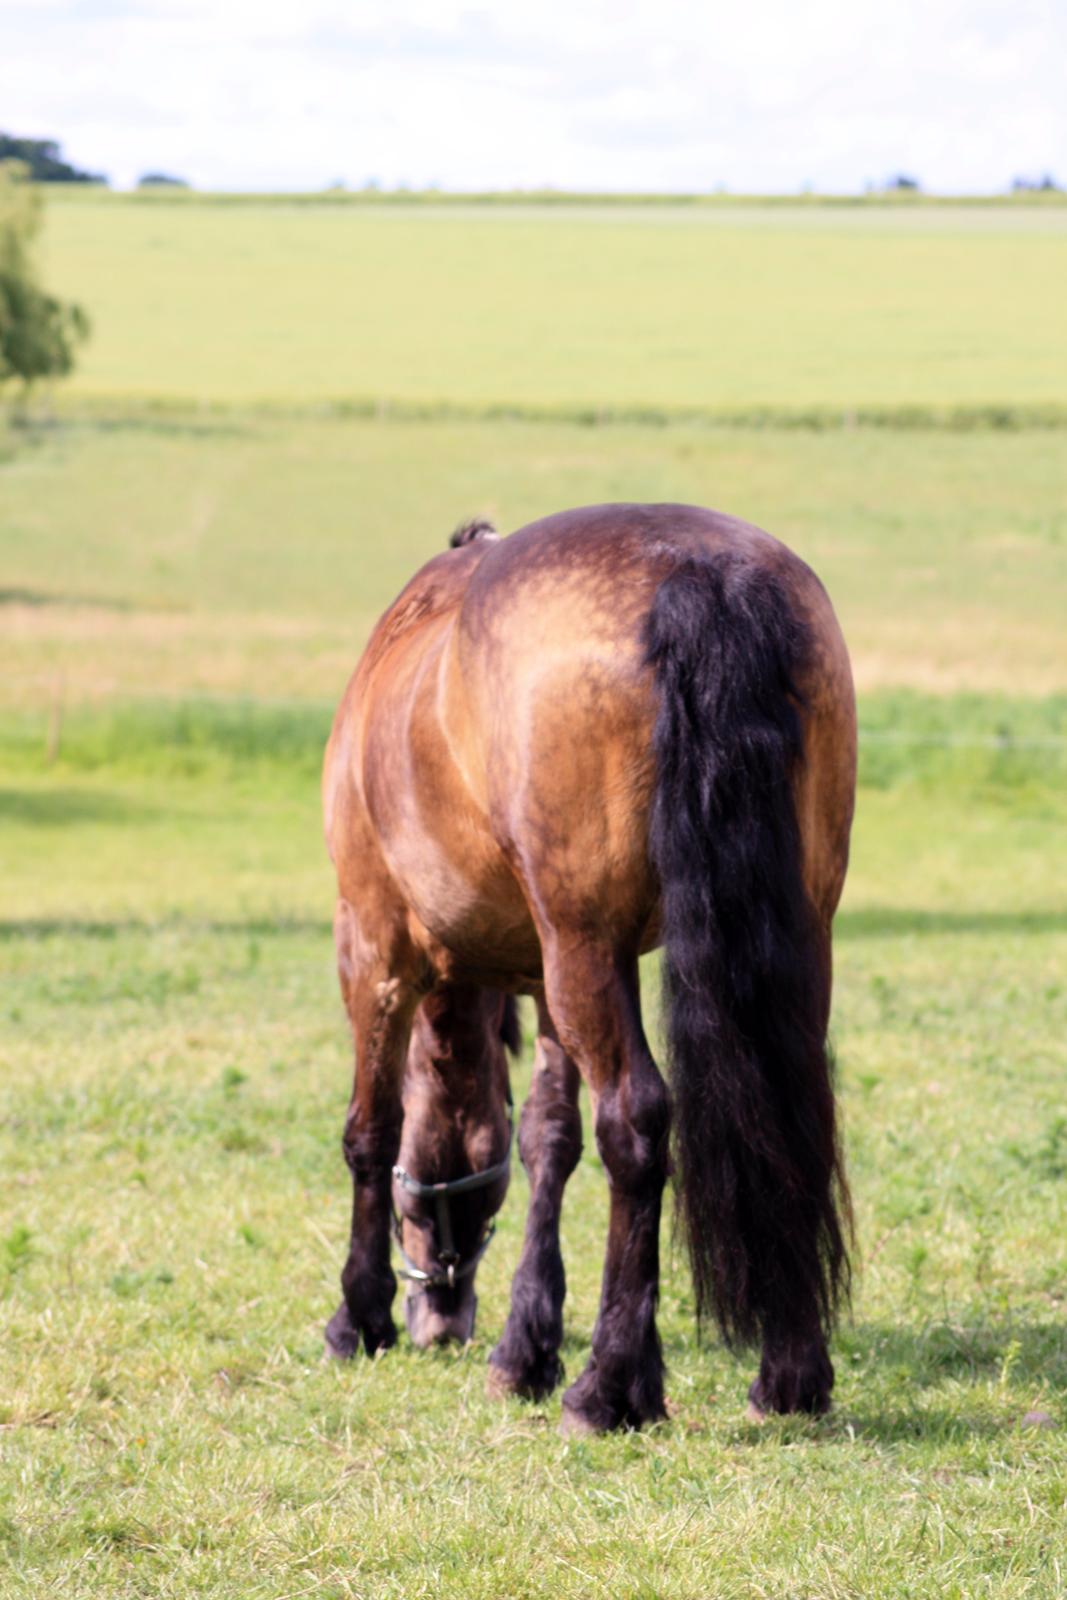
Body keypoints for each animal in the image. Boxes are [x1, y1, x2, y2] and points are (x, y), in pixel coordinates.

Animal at [321, 496, 857, 1427]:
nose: (442, 1313)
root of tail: (698, 572)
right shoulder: (551, 971)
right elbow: (548, 1136)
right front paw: (524, 1346)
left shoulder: (374, 948)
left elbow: (371, 1130)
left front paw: (360, 1316)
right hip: (788, 937)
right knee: (792, 1111)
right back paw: (790, 1376)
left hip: (580, 945)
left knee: (636, 1123)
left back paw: (610, 1386)